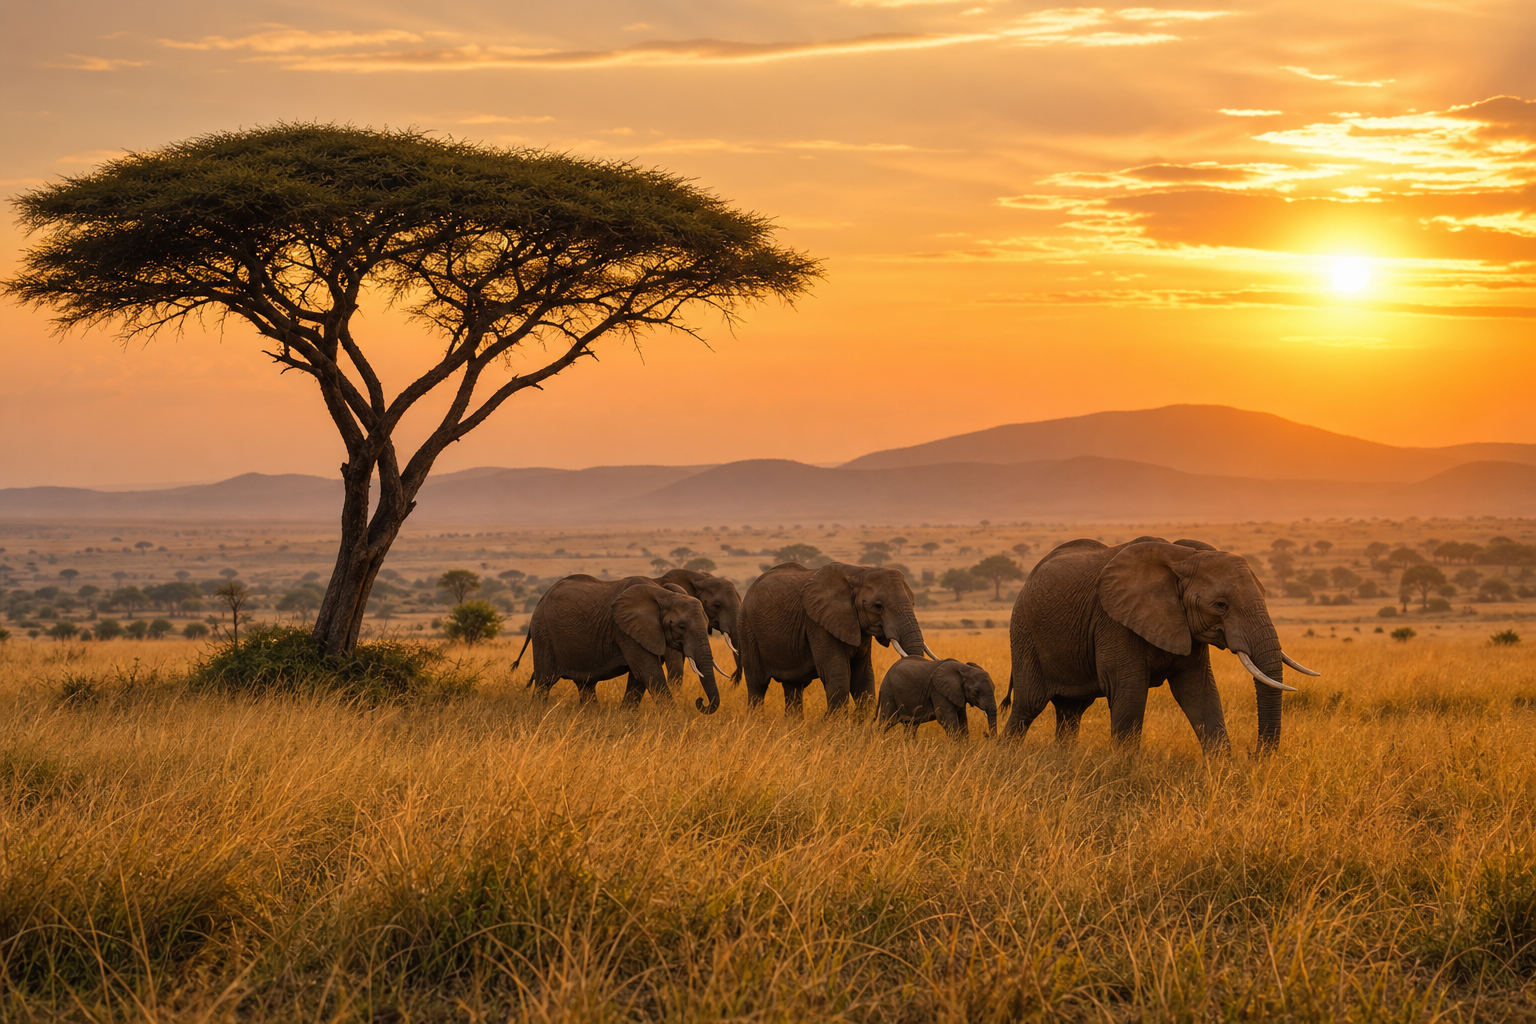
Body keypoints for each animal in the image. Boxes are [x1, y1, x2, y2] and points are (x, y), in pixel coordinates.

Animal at [511, 575, 721, 712]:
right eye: (682, 627)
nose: (700, 702)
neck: (664, 595)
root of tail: (541, 599)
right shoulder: (626, 631)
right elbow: (648, 672)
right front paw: (673, 718)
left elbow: (638, 678)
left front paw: (625, 715)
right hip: (543, 633)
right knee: (544, 682)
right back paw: (538, 712)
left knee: (585, 684)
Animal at [737, 561, 930, 717]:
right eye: (878, 606)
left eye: (913, 603)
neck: (859, 572)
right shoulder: (818, 623)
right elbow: (837, 673)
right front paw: (835, 727)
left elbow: (862, 676)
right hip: (747, 628)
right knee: (757, 684)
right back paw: (755, 723)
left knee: (793, 687)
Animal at [1001, 537, 1319, 751]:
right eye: (1221, 605)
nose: (1255, 756)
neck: (1183, 557)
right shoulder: (1114, 621)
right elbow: (1129, 693)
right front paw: (1123, 770)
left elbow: (1200, 693)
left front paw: (1222, 772)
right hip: (1024, 633)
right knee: (1028, 705)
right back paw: (1007, 756)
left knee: (1071, 710)